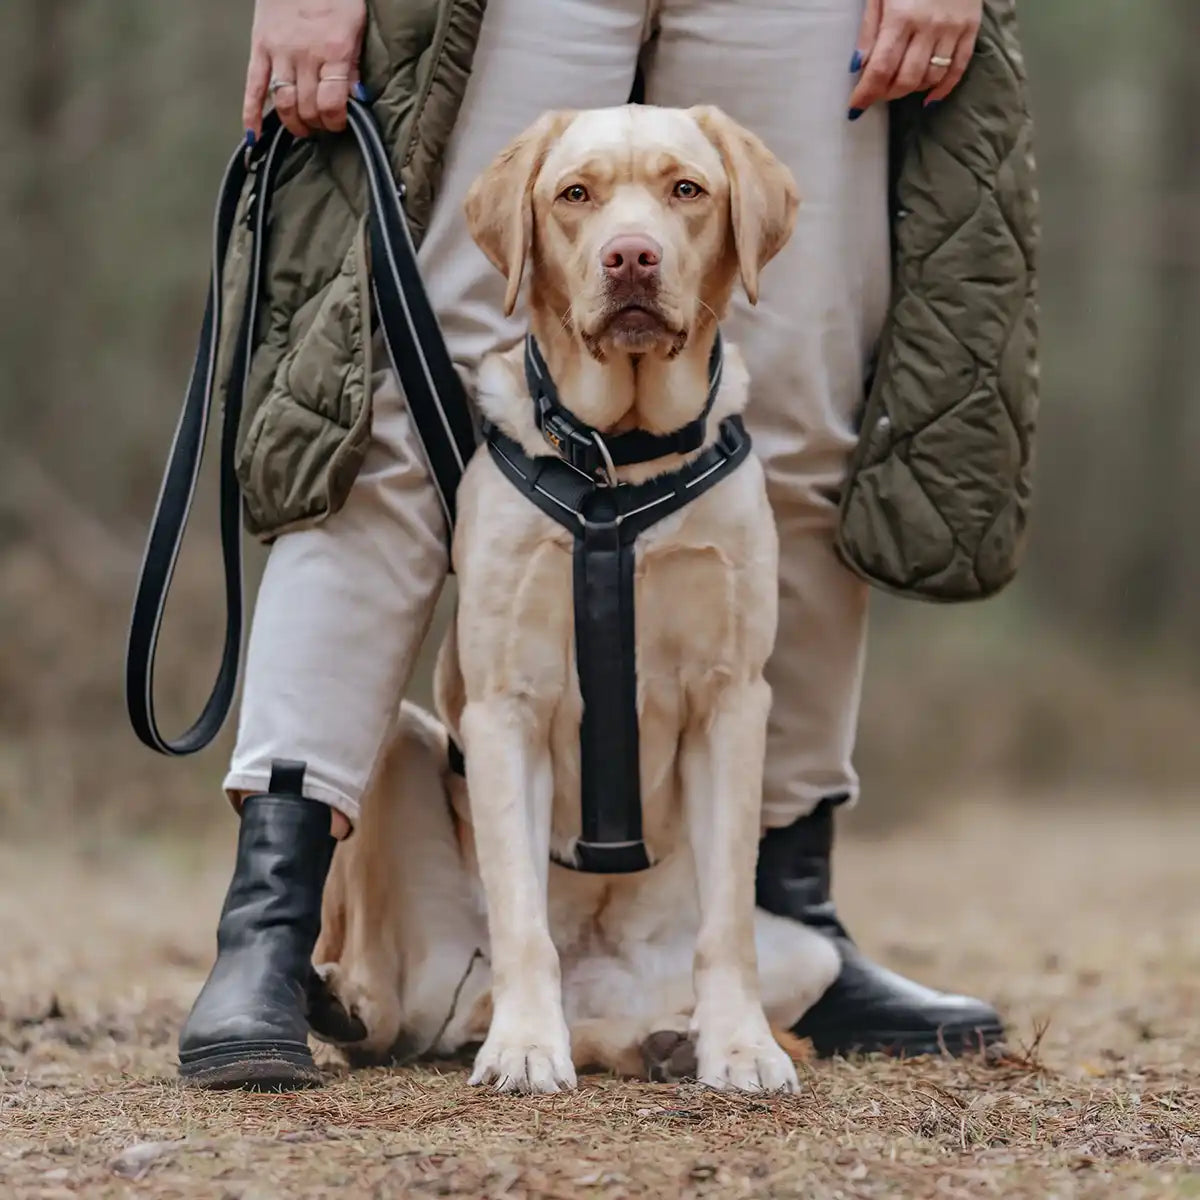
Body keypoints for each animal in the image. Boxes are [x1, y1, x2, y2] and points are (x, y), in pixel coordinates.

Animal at [319, 105, 844, 1099]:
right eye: (575, 195)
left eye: (687, 189)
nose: (631, 257)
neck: (617, 463)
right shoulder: (504, 707)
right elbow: (523, 917)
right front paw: (527, 1046)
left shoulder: (730, 700)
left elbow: (729, 927)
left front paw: (740, 1047)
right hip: (396, 748)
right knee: (398, 1006)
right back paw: (343, 1001)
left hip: (814, 951)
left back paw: (665, 1039)